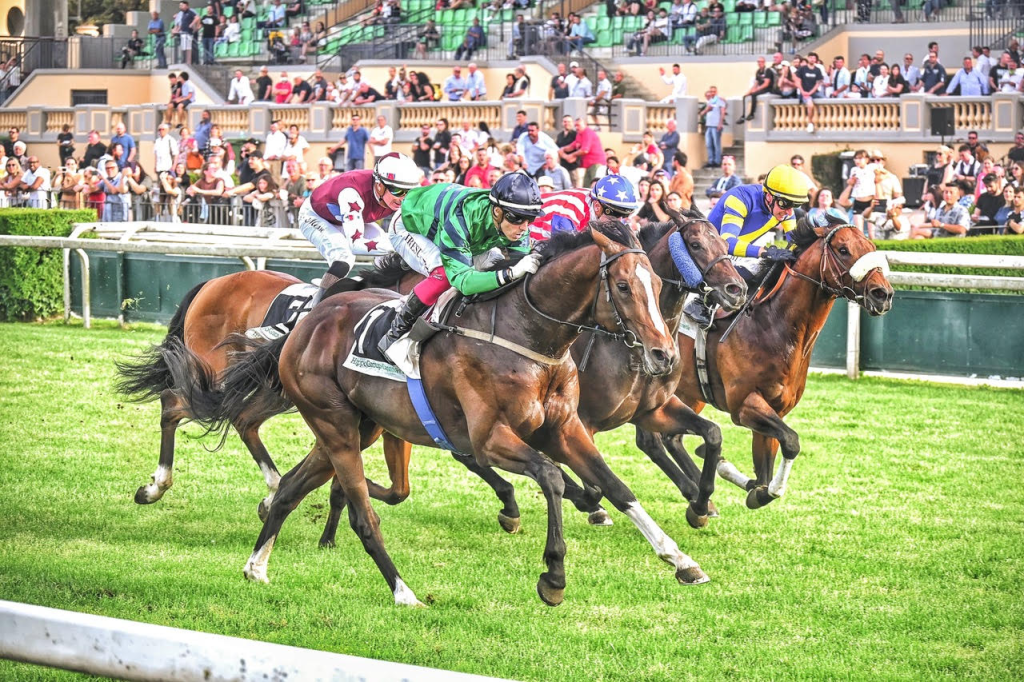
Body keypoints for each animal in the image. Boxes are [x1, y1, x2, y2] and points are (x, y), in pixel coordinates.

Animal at [200, 221, 709, 607]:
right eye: (622, 286)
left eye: (658, 285)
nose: (664, 355)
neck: (530, 335)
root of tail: (307, 321)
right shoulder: (489, 438)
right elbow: (551, 477)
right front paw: (553, 577)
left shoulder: (563, 428)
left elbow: (617, 487)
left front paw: (681, 560)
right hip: (335, 425)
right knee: (365, 516)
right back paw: (403, 592)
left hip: (357, 429)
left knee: (290, 488)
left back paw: (256, 565)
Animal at [636, 220, 894, 512]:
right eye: (843, 249)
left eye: (871, 246)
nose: (883, 294)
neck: (772, 325)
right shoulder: (744, 405)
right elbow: (790, 442)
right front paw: (758, 490)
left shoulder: (775, 410)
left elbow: (764, 472)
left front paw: (745, 480)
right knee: (651, 440)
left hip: (689, 393)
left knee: (671, 438)